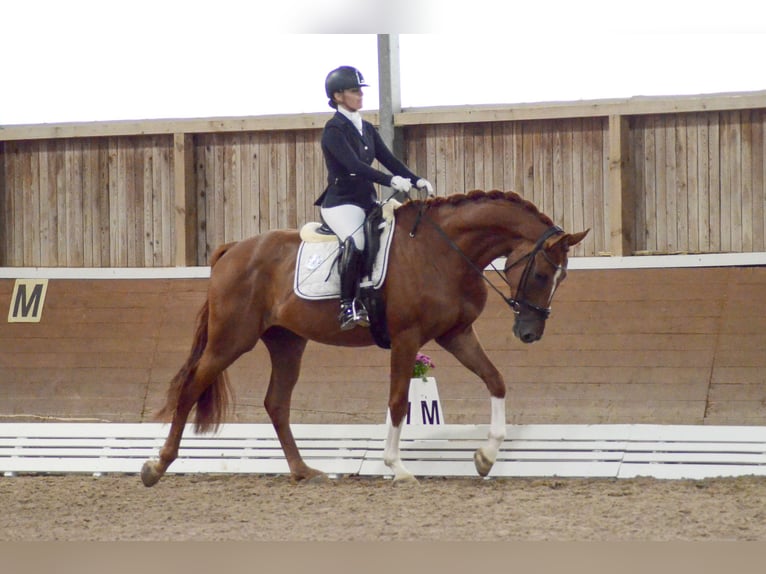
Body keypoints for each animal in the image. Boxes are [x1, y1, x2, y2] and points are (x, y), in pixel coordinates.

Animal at [142, 192, 588, 486]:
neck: (443, 251)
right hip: (231, 339)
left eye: (561, 278)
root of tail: (234, 249)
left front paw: (485, 458)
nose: (530, 333)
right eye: (542, 274)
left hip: (287, 342)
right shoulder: (408, 338)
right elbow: (397, 401)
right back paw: (157, 466)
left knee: (276, 403)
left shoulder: (456, 334)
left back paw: (304, 472)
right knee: (190, 387)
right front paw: (398, 468)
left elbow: (495, 380)